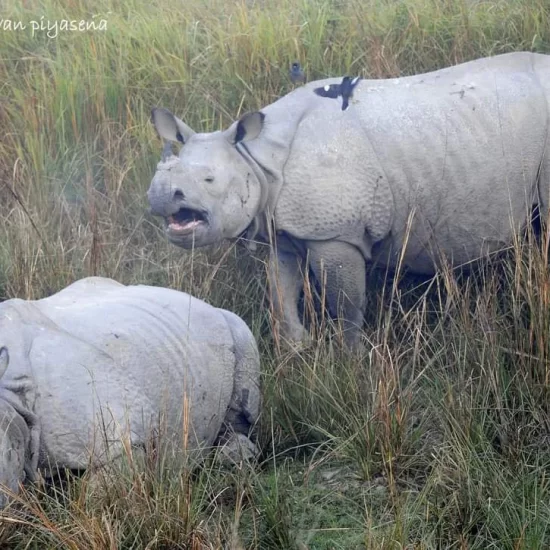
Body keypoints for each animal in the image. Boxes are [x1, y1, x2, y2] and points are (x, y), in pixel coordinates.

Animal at [147, 54, 550, 352]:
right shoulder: (285, 229)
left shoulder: (336, 232)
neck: (256, 158)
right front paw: (298, 348)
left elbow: (347, 305)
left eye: (209, 180)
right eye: (160, 171)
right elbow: (280, 290)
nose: (160, 195)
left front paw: (351, 360)